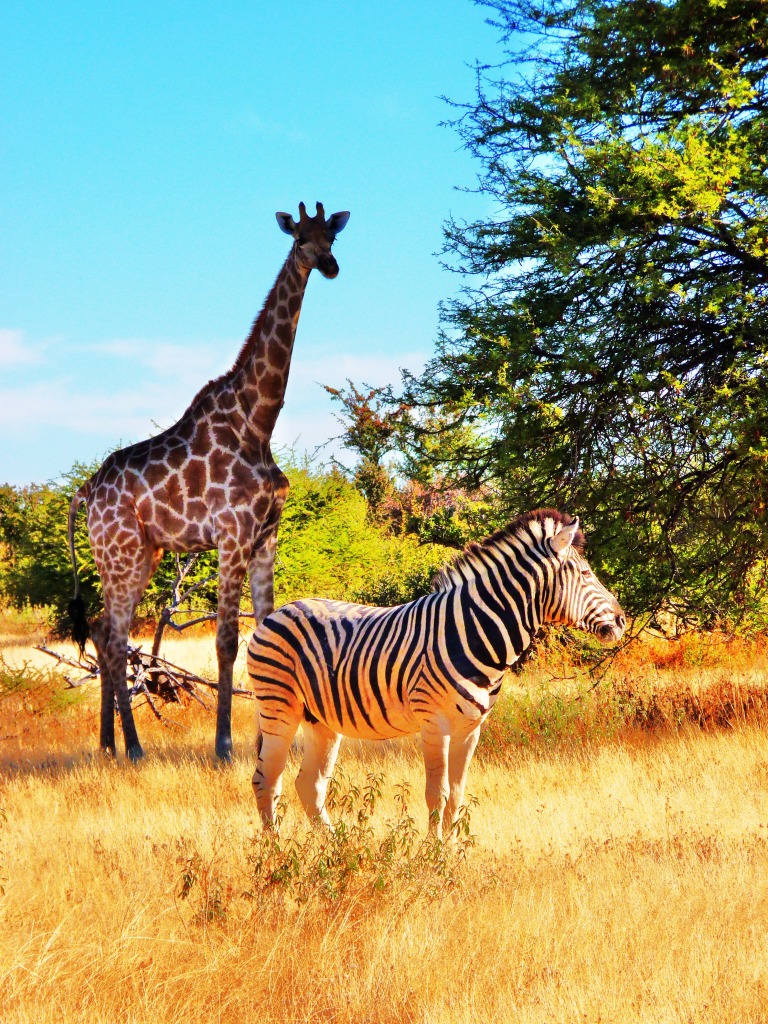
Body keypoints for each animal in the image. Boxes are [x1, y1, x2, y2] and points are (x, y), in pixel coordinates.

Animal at [67, 201, 350, 762]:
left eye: (332, 237)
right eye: (300, 239)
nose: (330, 266)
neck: (258, 421)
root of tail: (86, 492)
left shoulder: (266, 536)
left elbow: (266, 632)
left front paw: (268, 744)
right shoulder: (232, 534)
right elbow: (226, 641)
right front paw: (224, 747)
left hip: (141, 553)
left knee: (105, 633)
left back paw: (109, 745)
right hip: (120, 554)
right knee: (114, 638)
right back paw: (134, 748)